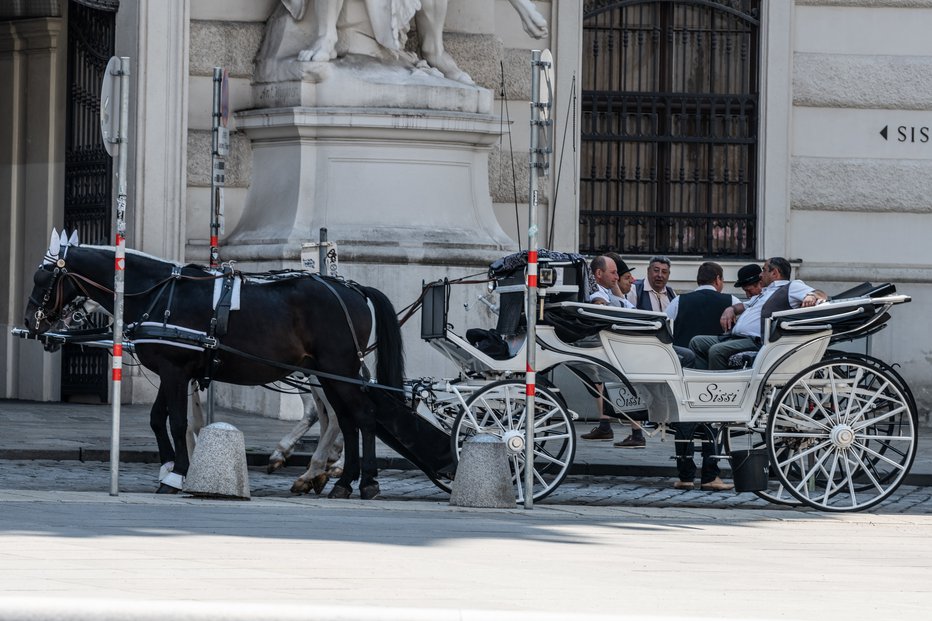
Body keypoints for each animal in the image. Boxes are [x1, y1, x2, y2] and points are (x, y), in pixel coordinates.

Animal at [22, 232, 404, 498]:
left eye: (41, 278)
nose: (30, 322)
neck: (158, 293)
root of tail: (353, 288)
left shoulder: (176, 371)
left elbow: (178, 422)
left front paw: (177, 474)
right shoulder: (172, 371)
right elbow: (159, 419)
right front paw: (170, 467)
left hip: (336, 371)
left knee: (361, 417)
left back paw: (362, 481)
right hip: (332, 374)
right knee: (346, 420)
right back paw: (338, 479)